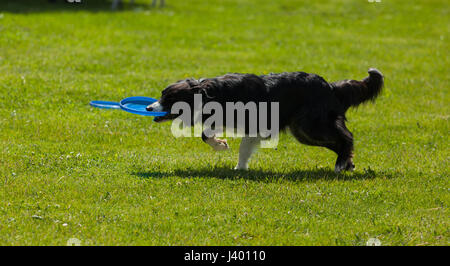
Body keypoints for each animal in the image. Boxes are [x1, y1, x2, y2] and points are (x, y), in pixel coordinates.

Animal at [149, 68, 384, 172]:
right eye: (162, 94)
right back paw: (347, 164)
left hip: (310, 126)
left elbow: (237, 144)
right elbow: (210, 136)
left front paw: (232, 159)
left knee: (346, 137)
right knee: (339, 141)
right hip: (303, 131)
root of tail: (330, 86)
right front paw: (231, 157)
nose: (149, 108)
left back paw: (340, 164)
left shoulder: (256, 125)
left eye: (170, 99)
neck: (211, 93)